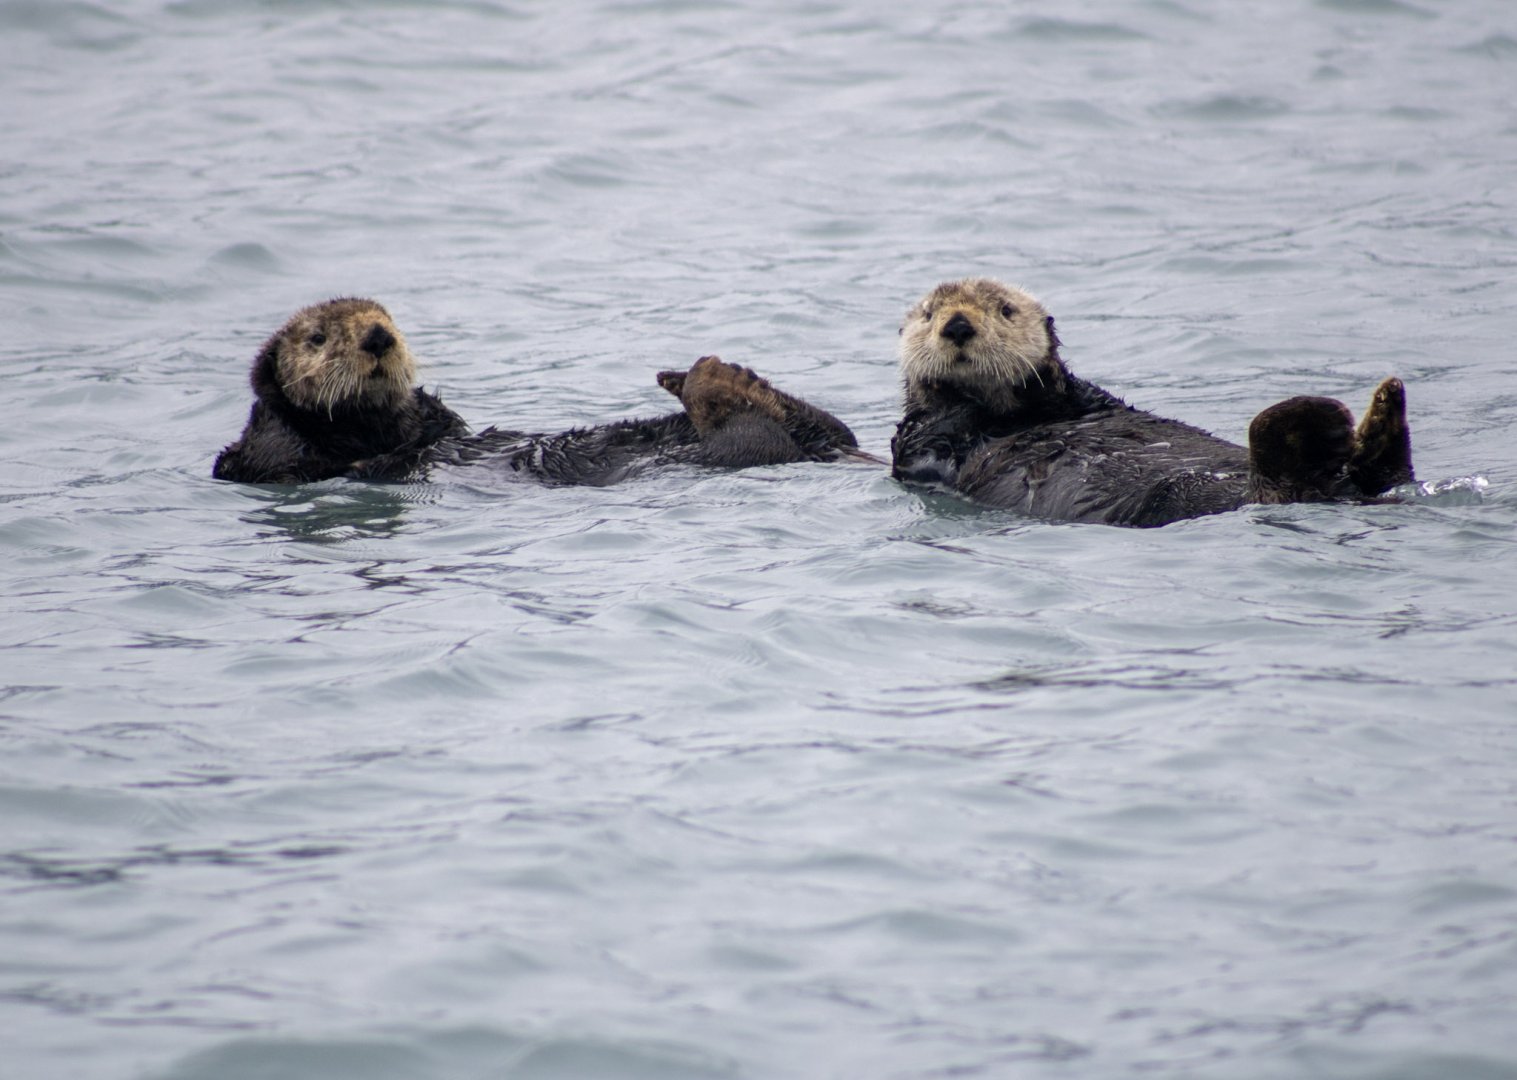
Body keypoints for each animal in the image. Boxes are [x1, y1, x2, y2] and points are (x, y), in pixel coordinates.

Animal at [213, 298, 861, 485]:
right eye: (318, 337)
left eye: (388, 318)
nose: (378, 337)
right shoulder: (289, 461)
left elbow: (444, 422)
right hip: (745, 452)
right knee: (753, 438)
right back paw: (718, 385)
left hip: (822, 435)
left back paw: (727, 378)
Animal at [891, 278, 1414, 526]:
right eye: (929, 314)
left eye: (1005, 310)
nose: (958, 325)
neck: (1012, 415)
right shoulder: (924, 446)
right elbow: (932, 438)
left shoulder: (1079, 398)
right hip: (1181, 496)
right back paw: (1324, 424)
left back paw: (1380, 414)